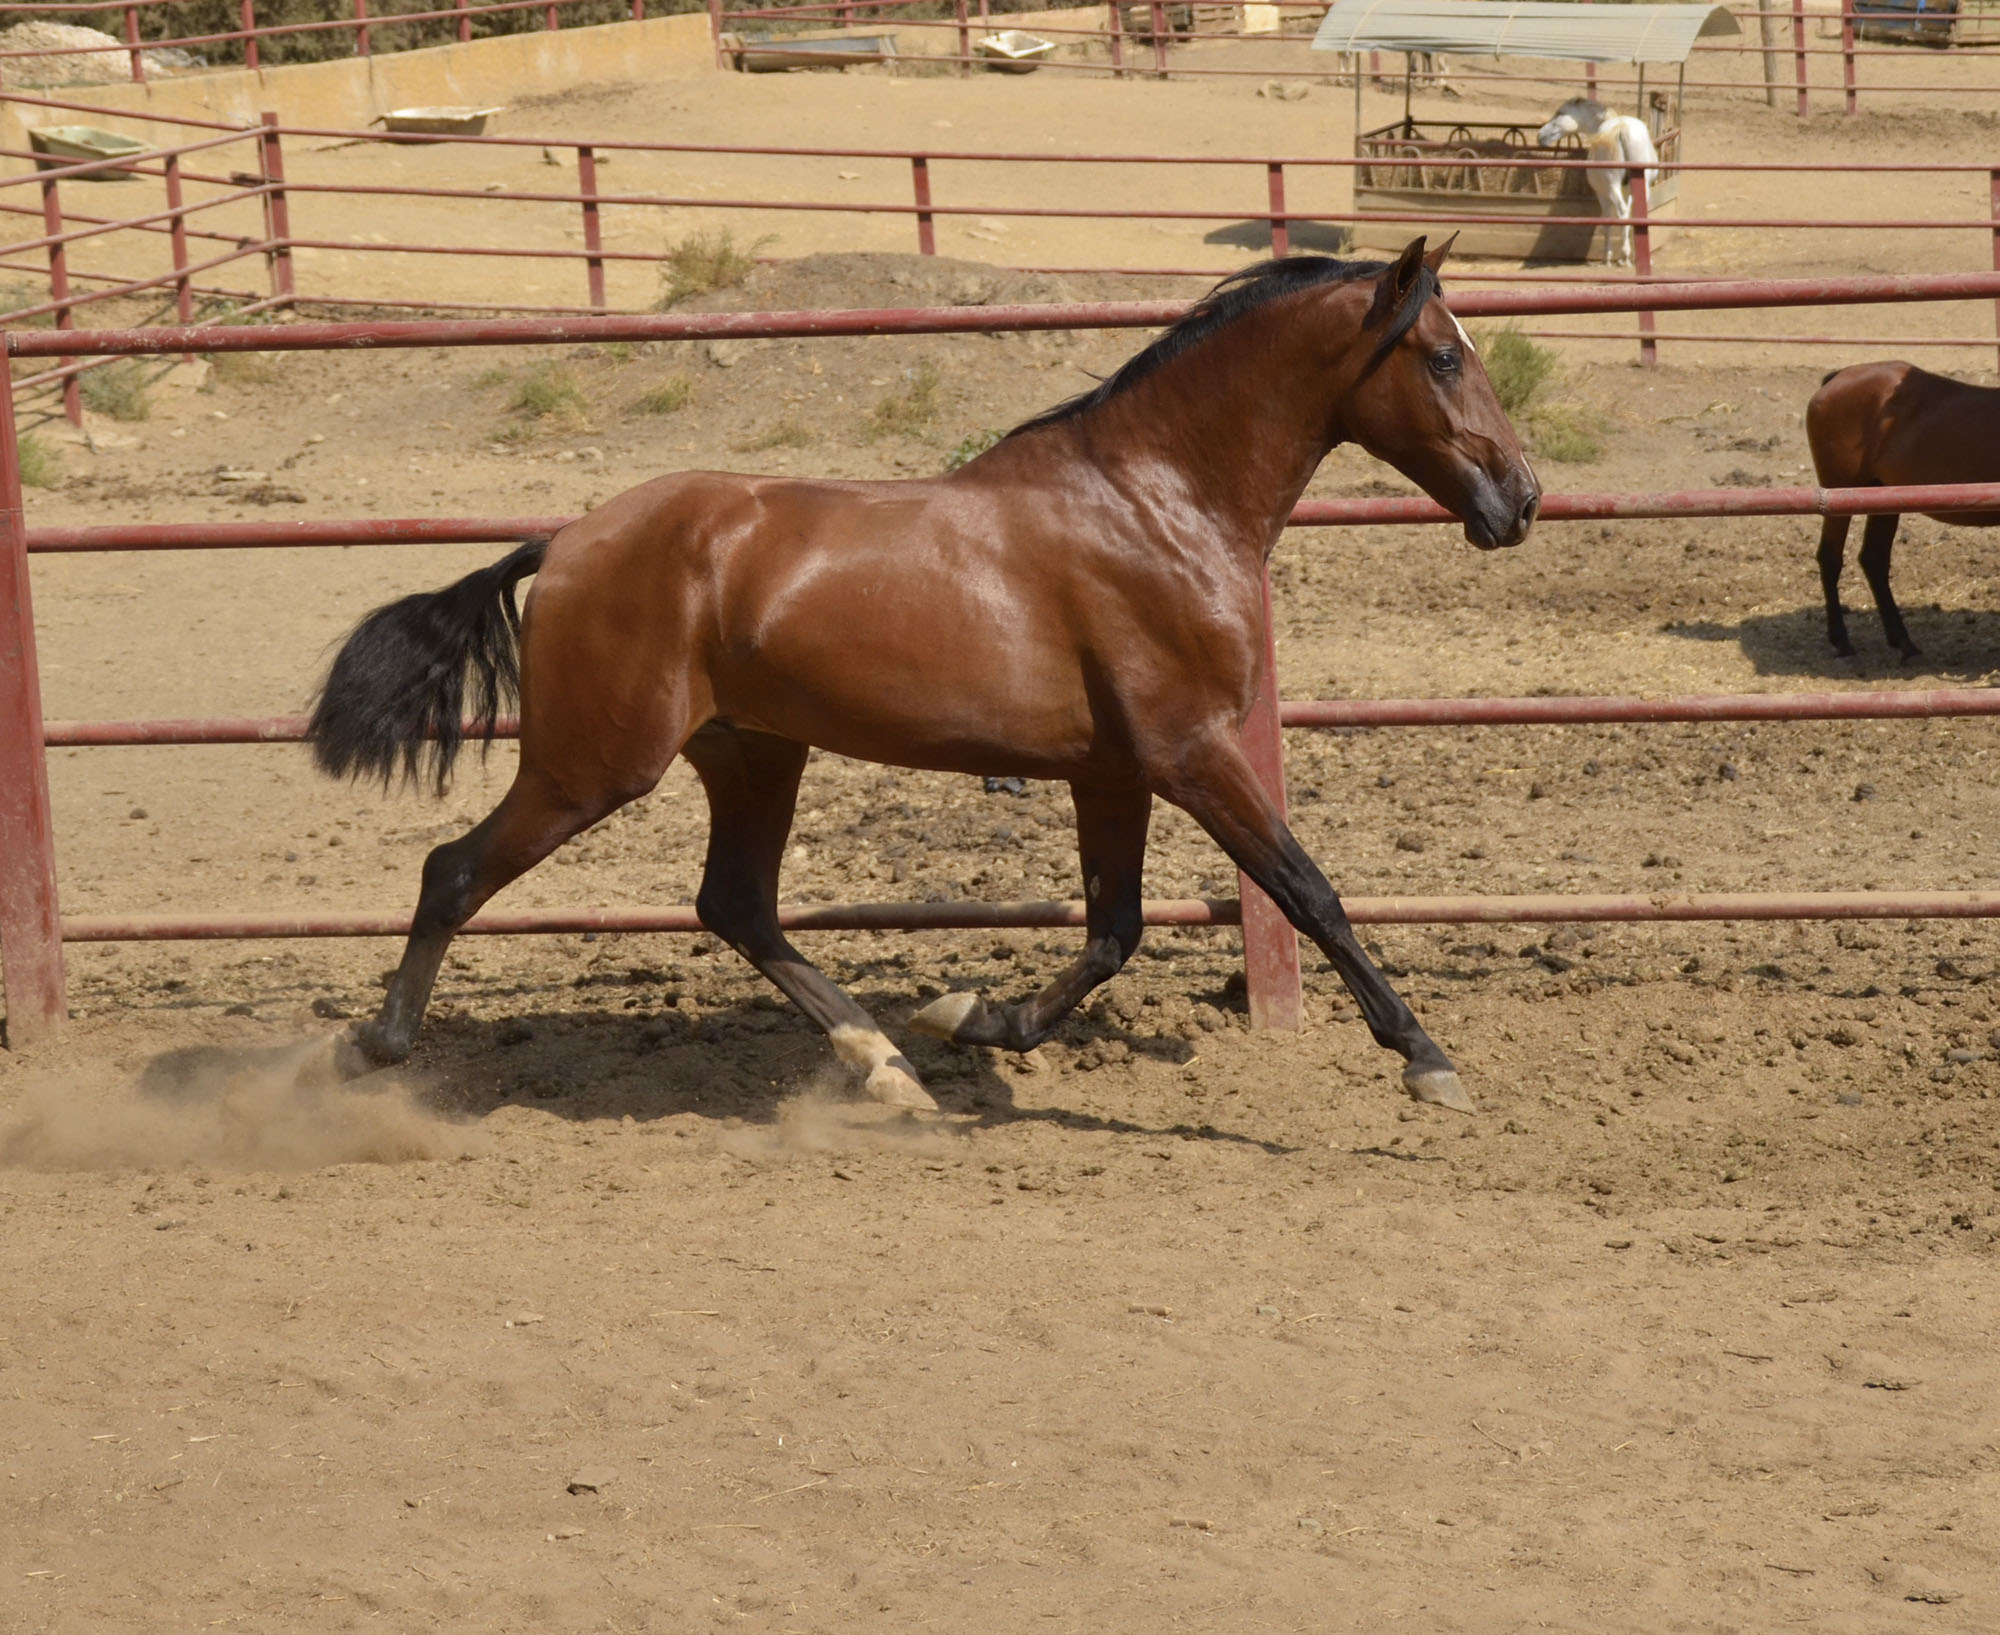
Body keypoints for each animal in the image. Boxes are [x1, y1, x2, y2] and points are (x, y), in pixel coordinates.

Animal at [304, 235, 1536, 1111]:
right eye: (1442, 357)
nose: (1518, 500)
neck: (1157, 505)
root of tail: (563, 544)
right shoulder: (1191, 753)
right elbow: (1307, 890)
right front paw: (1426, 1060)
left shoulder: (1113, 771)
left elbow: (1113, 929)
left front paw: (970, 1019)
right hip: (590, 765)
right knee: (454, 873)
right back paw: (371, 1049)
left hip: (752, 754)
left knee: (736, 904)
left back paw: (888, 1069)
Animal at [1536, 97, 1664, 263]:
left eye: (1560, 113)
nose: (1540, 135)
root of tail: (1622, 129)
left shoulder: (1602, 194)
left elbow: (1608, 221)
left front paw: (1607, 256)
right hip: (1644, 187)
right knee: (1637, 214)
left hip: (1612, 187)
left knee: (1622, 212)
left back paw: (1624, 255)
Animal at [1808, 359, 2000, 659]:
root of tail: (1838, 378)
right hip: (1838, 493)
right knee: (1830, 557)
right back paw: (1842, 640)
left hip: (1882, 498)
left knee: (1873, 559)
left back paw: (1902, 640)